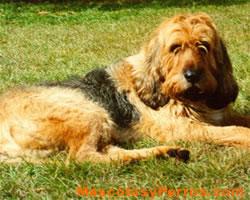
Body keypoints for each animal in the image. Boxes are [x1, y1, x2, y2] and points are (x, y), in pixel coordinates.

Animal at [0, 12, 250, 163]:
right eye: (175, 48)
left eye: (203, 46)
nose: (191, 76)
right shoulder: (183, 128)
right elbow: (234, 130)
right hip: (89, 111)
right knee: (85, 157)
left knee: (110, 152)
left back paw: (167, 152)